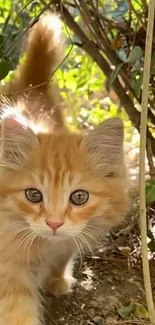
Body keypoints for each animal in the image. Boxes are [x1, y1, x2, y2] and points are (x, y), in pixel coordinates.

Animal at [0, 13, 128, 324]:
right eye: (33, 195)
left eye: (79, 197)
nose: (54, 223)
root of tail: (30, 87)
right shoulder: (8, 265)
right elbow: (17, 309)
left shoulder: (68, 242)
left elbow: (64, 253)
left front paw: (57, 279)